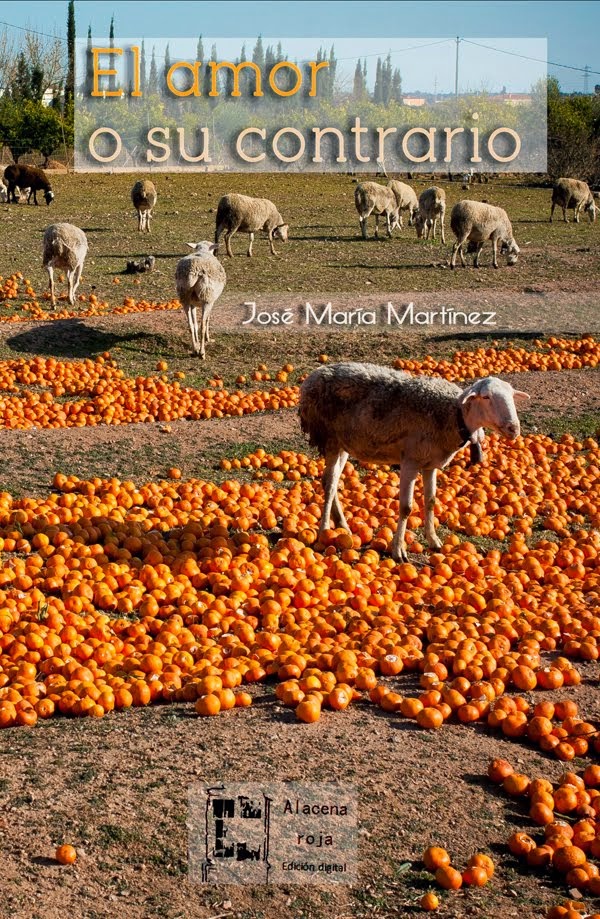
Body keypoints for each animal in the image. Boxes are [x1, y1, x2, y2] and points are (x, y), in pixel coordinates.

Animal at [300, 362, 528, 564]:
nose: (514, 428)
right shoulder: (410, 460)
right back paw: (324, 531)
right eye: (486, 397)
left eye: (511, 397)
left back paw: (343, 526)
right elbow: (406, 507)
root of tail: (314, 374)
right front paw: (398, 550)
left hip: (344, 443)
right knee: (330, 484)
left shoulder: (430, 463)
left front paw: (434, 541)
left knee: (332, 481)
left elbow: (431, 500)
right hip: (329, 438)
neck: (452, 415)